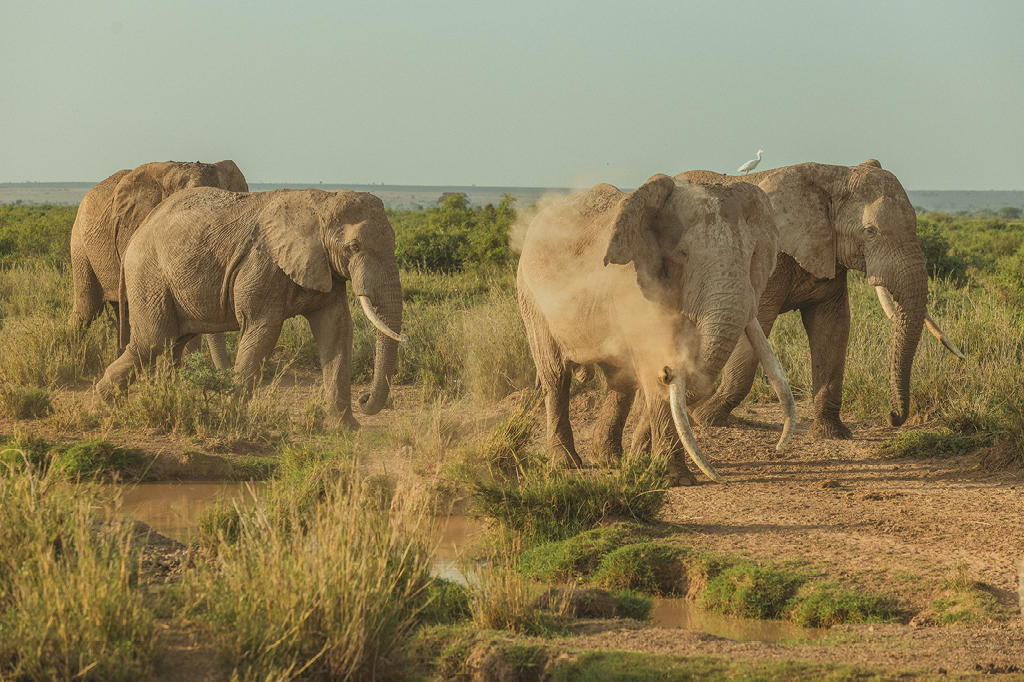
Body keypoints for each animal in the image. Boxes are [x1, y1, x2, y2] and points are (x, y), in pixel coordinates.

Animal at [94, 187, 404, 429]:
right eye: (354, 247)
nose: (364, 398)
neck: (320, 202)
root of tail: (136, 234)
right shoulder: (261, 263)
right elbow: (263, 330)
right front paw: (232, 420)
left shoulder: (324, 267)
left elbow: (336, 329)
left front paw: (347, 429)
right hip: (148, 275)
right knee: (152, 341)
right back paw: (107, 405)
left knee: (172, 343)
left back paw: (163, 401)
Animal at [517, 173, 797, 485]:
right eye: (683, 255)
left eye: (752, 256)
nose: (667, 372)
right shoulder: (635, 285)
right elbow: (651, 363)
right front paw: (674, 479)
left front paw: (643, 461)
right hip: (531, 297)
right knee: (555, 375)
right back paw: (567, 464)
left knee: (620, 380)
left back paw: (611, 460)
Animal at [681, 160, 963, 439]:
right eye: (870, 231)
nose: (892, 416)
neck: (835, 175)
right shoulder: (768, 259)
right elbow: (756, 325)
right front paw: (705, 417)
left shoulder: (829, 254)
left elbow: (832, 327)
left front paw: (832, 433)